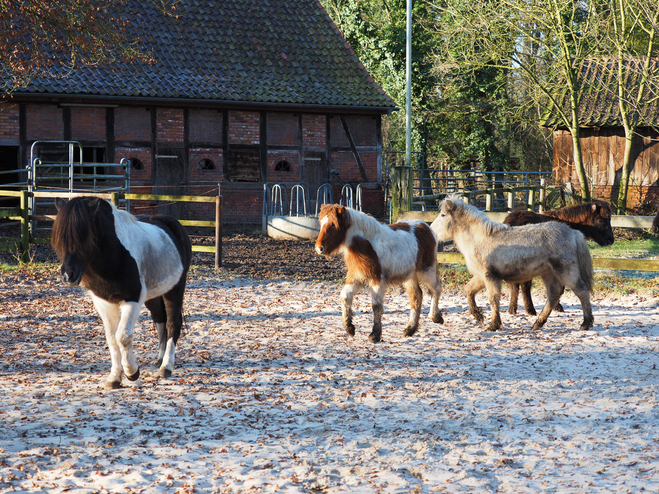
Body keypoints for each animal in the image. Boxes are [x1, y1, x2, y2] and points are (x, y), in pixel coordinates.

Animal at [52, 197, 192, 390]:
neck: (115, 255)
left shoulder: (132, 300)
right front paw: (115, 377)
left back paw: (166, 367)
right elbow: (112, 339)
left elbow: (123, 337)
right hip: (155, 296)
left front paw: (132, 372)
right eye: (60, 239)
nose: (67, 275)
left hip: (175, 289)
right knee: (160, 319)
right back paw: (159, 358)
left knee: (172, 324)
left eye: (84, 236)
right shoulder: (104, 303)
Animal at [314, 203, 444, 342]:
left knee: (436, 287)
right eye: (321, 222)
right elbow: (344, 296)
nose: (319, 248)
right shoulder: (356, 277)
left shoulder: (377, 280)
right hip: (409, 276)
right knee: (416, 296)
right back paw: (410, 329)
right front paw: (349, 328)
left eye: (333, 224)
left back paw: (435, 317)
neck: (366, 244)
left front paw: (374, 335)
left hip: (426, 271)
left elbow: (376, 306)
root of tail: (426, 227)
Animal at [430, 194, 596, 332]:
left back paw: (586, 323)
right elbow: (468, 290)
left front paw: (493, 325)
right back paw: (538, 323)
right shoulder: (481, 276)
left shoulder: (489, 277)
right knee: (554, 294)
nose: (431, 231)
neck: (480, 238)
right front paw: (478, 315)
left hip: (567, 272)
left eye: (443, 215)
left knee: (581, 291)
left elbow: (493, 299)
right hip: (548, 274)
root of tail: (574, 233)